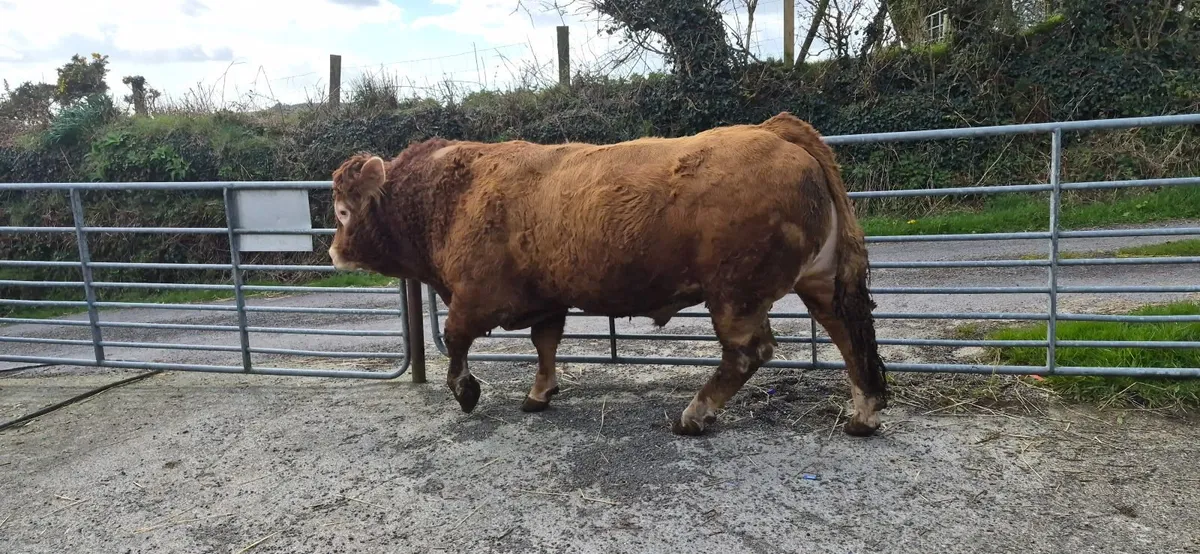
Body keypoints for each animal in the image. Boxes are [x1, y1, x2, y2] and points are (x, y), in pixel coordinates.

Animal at [327, 112, 888, 437]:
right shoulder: (547, 299)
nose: (332, 252)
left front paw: (465, 391)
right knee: (847, 332)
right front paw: (540, 393)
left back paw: (695, 414)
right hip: (818, 281)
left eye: (341, 211)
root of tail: (775, 130)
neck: (451, 194)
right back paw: (863, 413)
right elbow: (546, 342)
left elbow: (455, 339)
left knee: (748, 353)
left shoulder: (473, 297)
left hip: (735, 293)